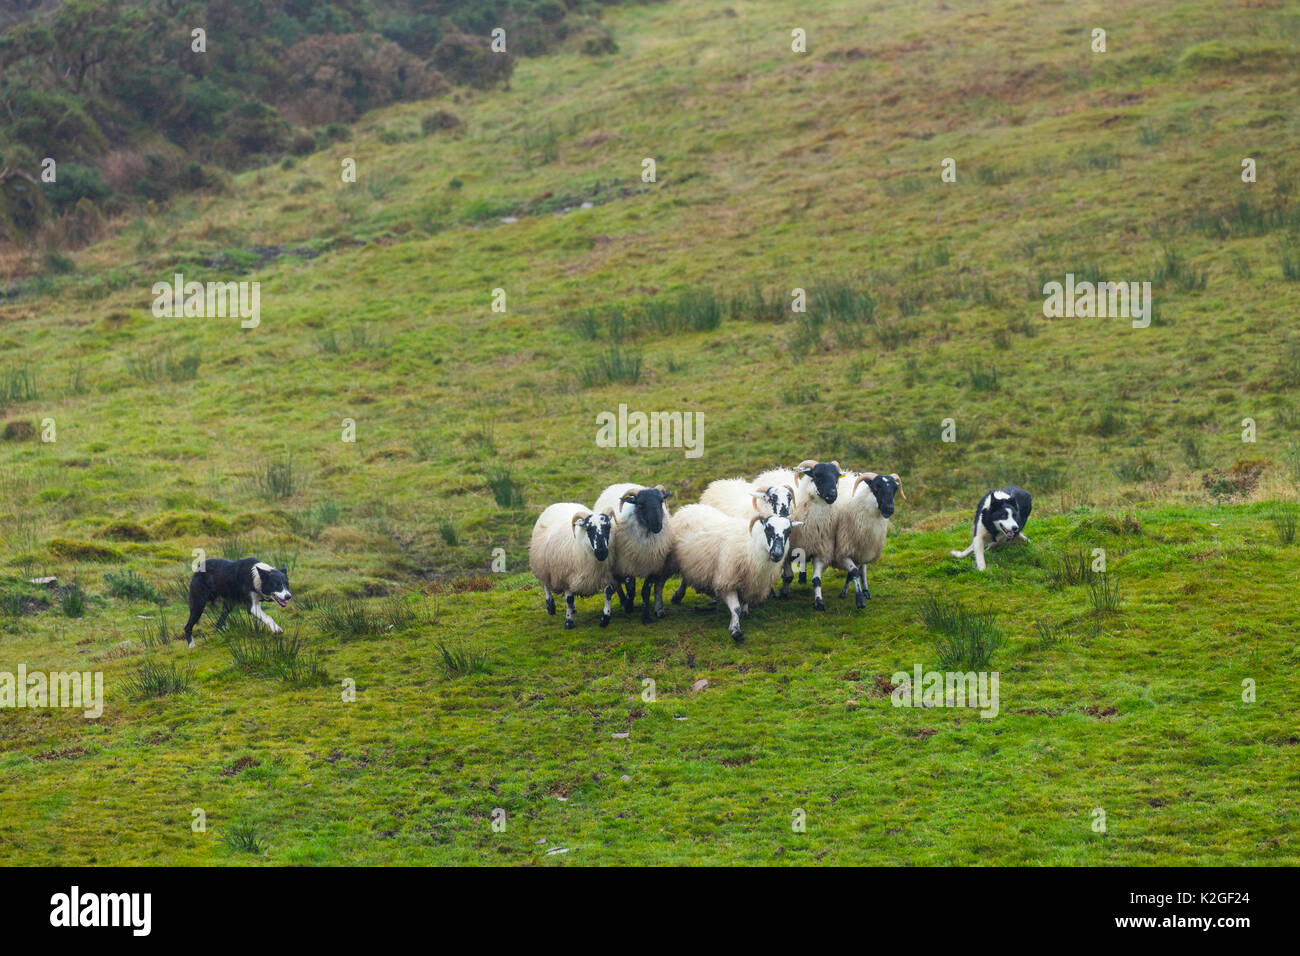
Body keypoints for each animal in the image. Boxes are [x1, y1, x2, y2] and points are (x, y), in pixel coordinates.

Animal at [525, 504, 616, 632]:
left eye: (608, 527)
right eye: (589, 528)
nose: (602, 552)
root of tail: (561, 503)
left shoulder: (605, 574)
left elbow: (608, 593)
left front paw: (605, 619)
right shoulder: (565, 576)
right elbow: (569, 599)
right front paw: (569, 622)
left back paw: (572, 609)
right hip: (542, 565)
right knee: (545, 584)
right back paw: (550, 606)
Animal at [590, 481, 670, 624]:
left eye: (661, 501)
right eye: (640, 504)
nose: (657, 526)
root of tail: (620, 483)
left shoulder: (652, 566)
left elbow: (645, 591)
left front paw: (646, 617)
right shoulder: (627, 564)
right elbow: (631, 588)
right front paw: (628, 605)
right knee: (617, 585)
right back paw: (624, 602)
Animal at [665, 504, 795, 647]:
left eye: (788, 532)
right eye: (767, 529)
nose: (777, 554)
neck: (752, 546)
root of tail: (688, 507)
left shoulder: (750, 583)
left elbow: (743, 603)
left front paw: (744, 612)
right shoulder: (727, 580)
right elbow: (736, 608)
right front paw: (735, 630)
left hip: (693, 563)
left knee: (686, 577)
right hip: (673, 559)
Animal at [832, 476, 904, 608]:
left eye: (895, 488)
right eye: (876, 487)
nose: (889, 509)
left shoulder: (861, 551)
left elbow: (855, 572)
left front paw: (854, 593)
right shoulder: (843, 551)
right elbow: (854, 572)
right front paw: (859, 599)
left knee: (863, 570)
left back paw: (866, 590)